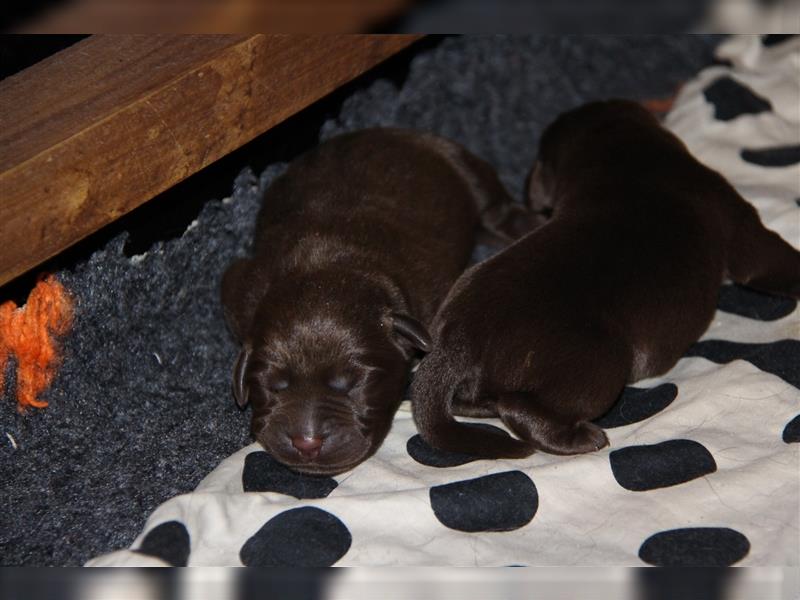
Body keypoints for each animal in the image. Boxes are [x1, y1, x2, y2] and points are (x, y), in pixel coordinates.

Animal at [222, 127, 536, 474]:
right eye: (273, 385)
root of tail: (387, 131)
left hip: (467, 171)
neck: (325, 264)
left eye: (353, 383)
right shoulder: (239, 285)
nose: (307, 443)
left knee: (498, 209)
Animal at [412, 101, 800, 460]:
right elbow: (766, 256)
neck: (624, 155)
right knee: (519, 408)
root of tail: (456, 341)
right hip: (603, 361)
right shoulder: (731, 210)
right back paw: (582, 438)